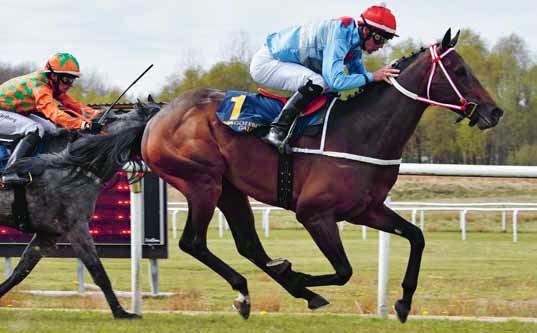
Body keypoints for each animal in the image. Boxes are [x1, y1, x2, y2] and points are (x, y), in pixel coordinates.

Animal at [141, 29, 502, 322]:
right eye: (460, 71)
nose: (494, 111)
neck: (361, 132)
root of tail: (161, 112)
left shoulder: (366, 210)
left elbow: (416, 236)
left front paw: (403, 303)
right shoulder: (314, 214)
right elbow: (344, 271)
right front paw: (298, 277)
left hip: (229, 188)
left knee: (248, 244)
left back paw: (260, 292)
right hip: (202, 182)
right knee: (193, 242)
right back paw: (269, 287)